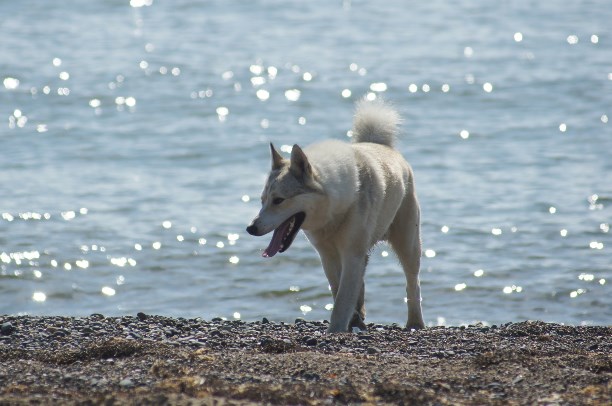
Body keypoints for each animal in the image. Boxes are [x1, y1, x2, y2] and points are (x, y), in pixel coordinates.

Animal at [246, 99, 424, 334]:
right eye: (262, 200)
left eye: (278, 200)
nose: (251, 228)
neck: (334, 208)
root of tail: (381, 145)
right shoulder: (327, 256)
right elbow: (338, 289)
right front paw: (351, 319)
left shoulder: (351, 254)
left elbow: (342, 299)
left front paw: (336, 329)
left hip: (408, 244)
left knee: (413, 283)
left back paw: (415, 323)